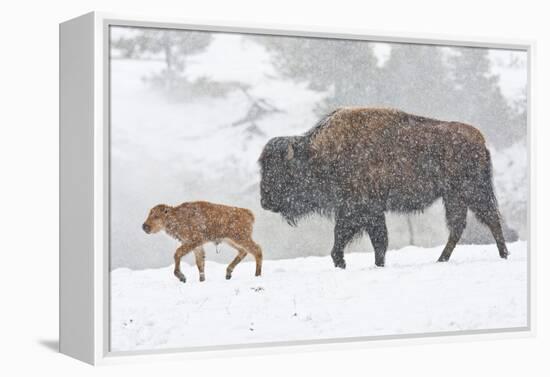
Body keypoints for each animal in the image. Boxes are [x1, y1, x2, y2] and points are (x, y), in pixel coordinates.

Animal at [260, 107, 512, 268]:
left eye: (280, 170)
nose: (264, 202)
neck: (319, 154)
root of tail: (480, 140)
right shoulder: (365, 211)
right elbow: (375, 241)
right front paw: (369, 264)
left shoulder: (359, 209)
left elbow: (361, 239)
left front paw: (343, 262)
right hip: (454, 197)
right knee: (459, 226)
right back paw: (442, 259)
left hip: (472, 191)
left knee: (490, 219)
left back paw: (503, 255)